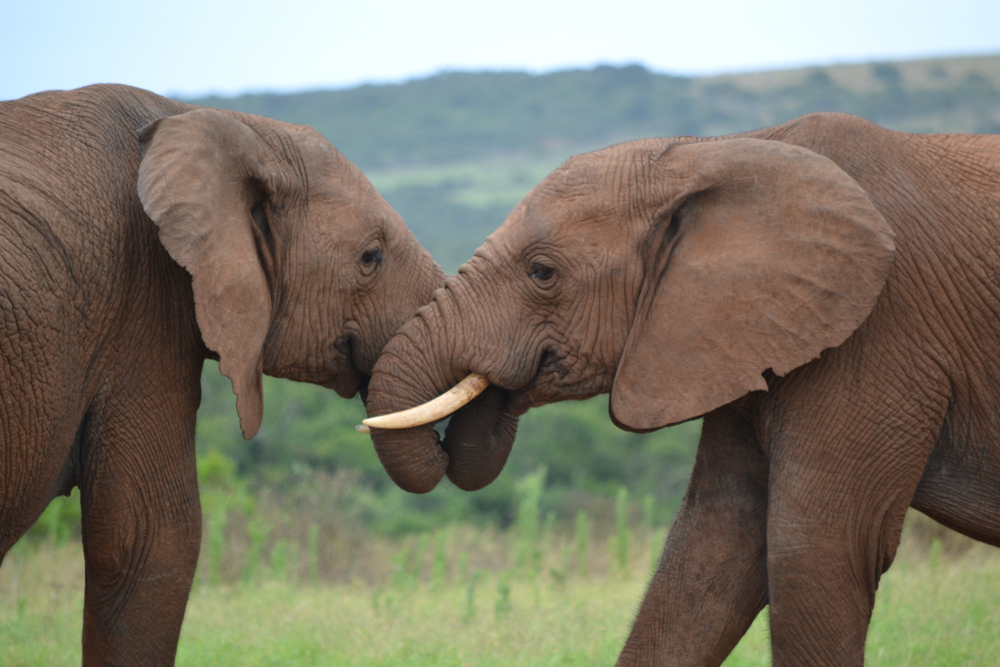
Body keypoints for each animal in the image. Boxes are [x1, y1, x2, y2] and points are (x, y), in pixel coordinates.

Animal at [364, 112, 1000, 664]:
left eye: (542, 272)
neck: (713, 152)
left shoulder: (879, 330)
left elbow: (813, 552)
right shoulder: (734, 336)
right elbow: (711, 544)